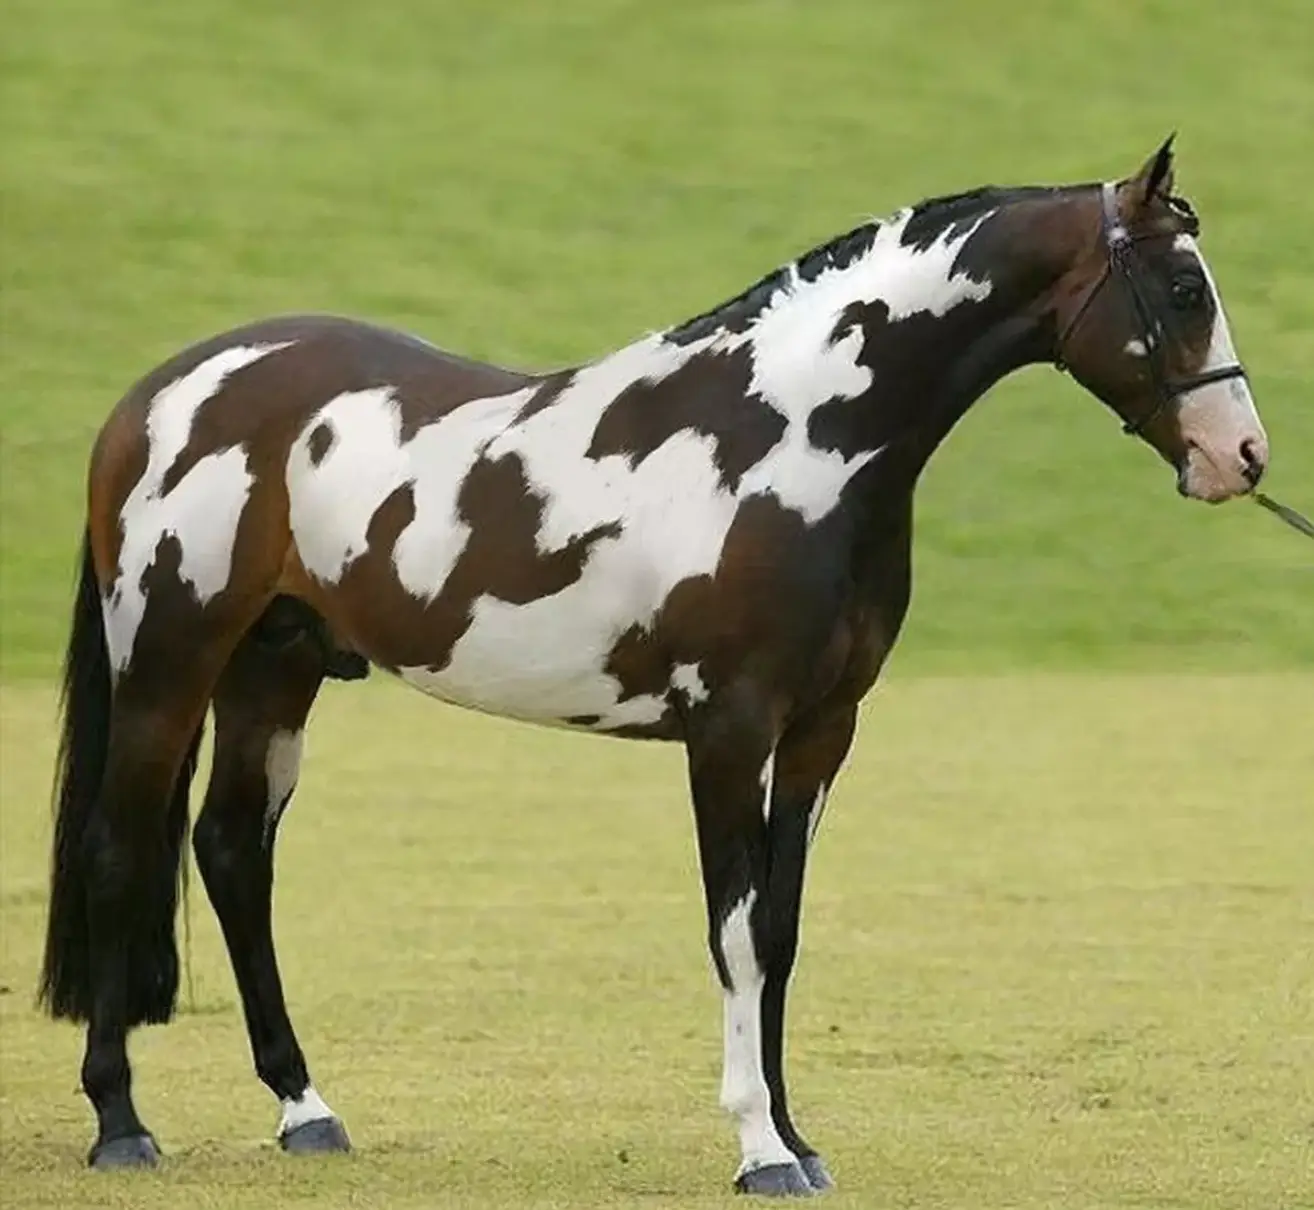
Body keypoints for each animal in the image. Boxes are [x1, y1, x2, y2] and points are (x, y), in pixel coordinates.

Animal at [38, 136, 1268, 1197]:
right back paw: (122, 1124)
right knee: (116, 849)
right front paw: (759, 1150)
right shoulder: (728, 730)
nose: (1243, 457)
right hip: (166, 665)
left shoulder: (822, 732)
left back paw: (306, 1109)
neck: (793, 440)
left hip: (273, 672)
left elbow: (780, 931)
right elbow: (733, 930)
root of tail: (156, 396)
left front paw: (798, 1137)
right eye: (1183, 289)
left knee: (232, 852)